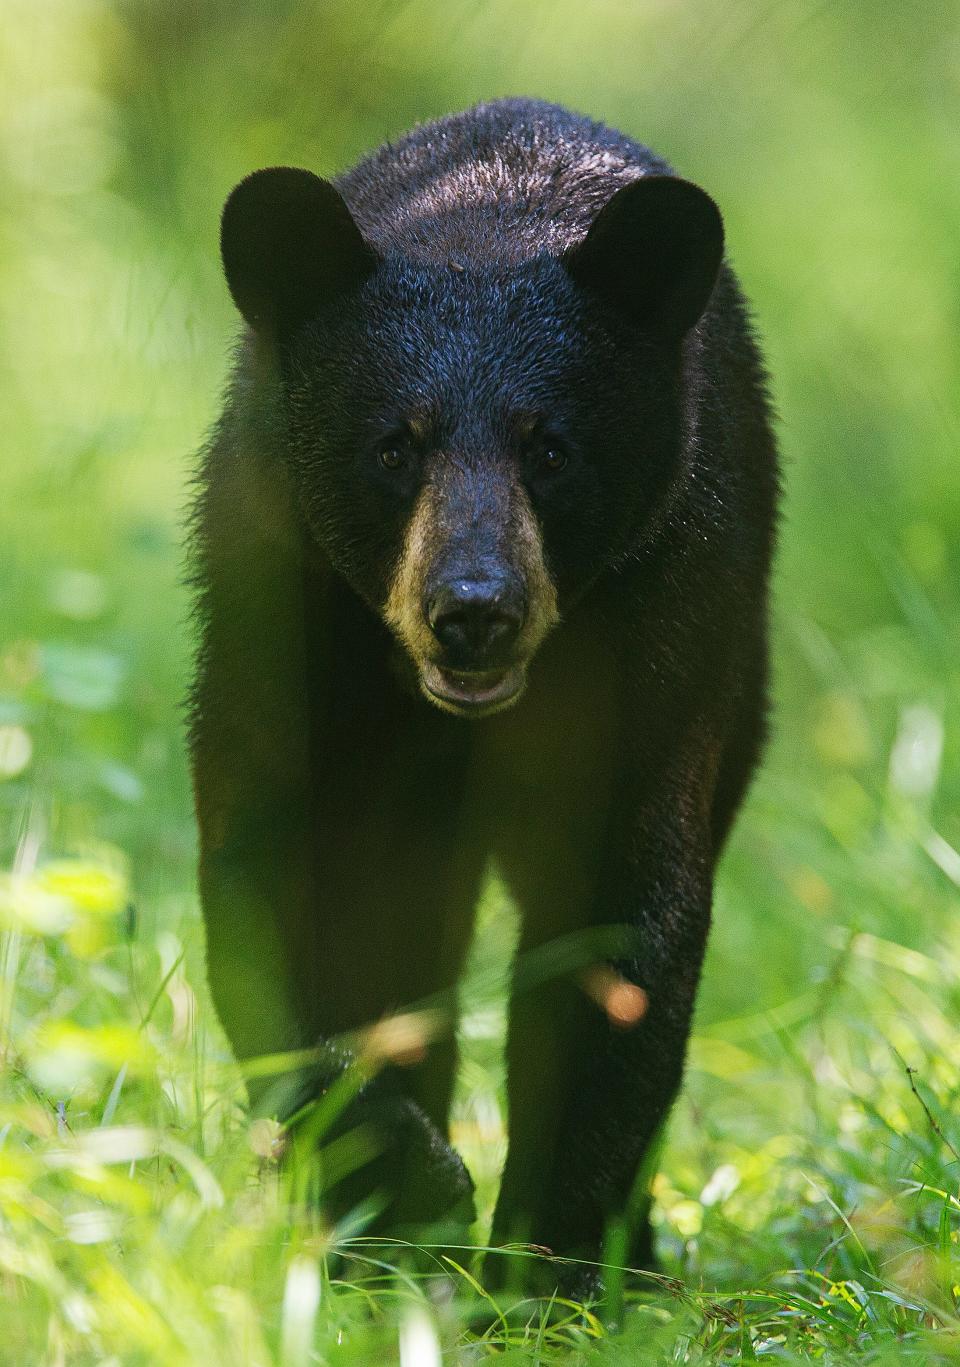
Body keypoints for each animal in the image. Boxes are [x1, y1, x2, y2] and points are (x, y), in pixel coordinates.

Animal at [190, 99, 782, 1301]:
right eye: (393, 446)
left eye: (549, 447)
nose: (473, 609)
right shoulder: (279, 615)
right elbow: (279, 886)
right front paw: (407, 1188)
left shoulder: (660, 629)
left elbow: (615, 941)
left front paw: (547, 1271)